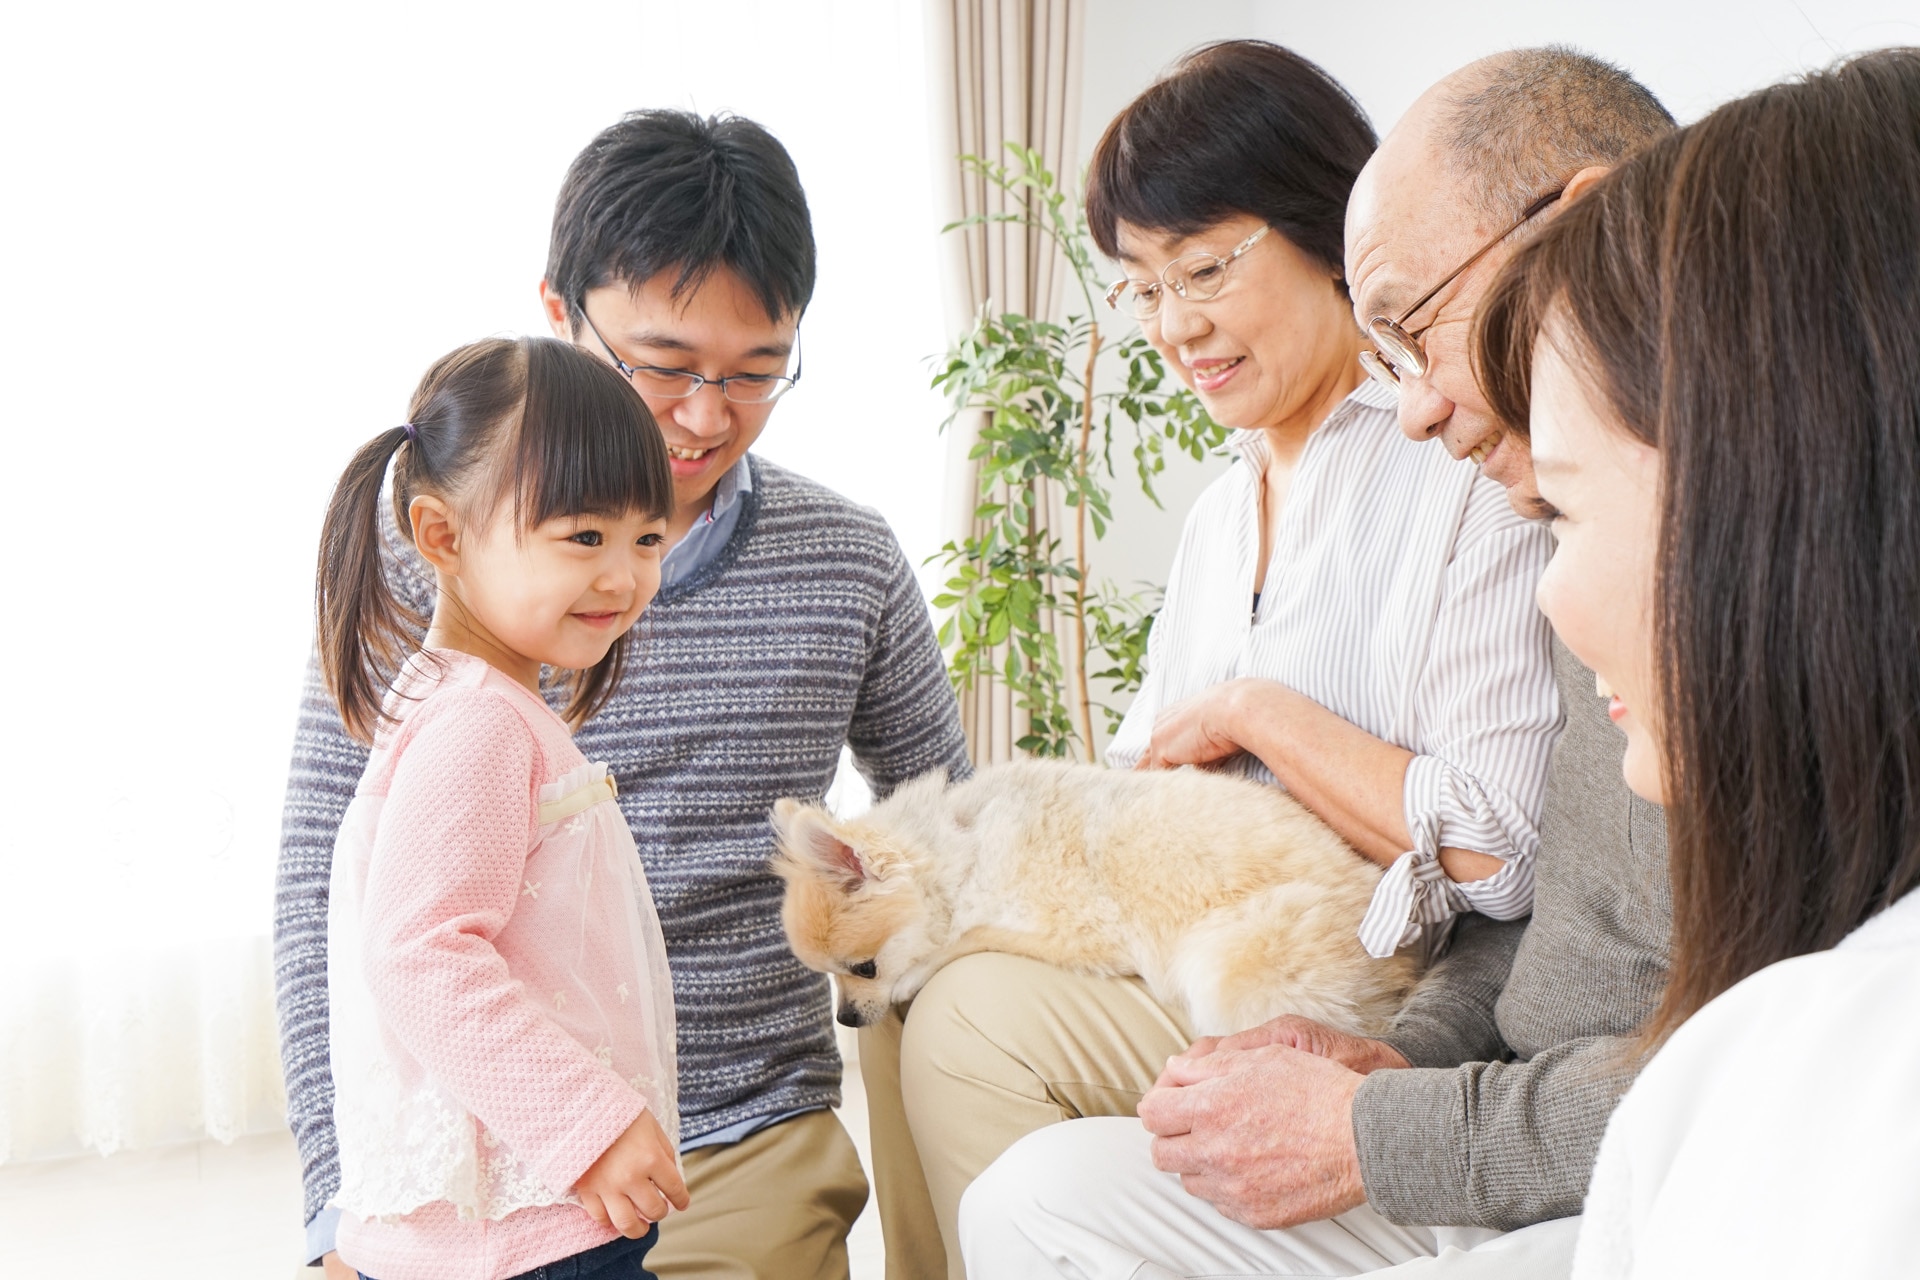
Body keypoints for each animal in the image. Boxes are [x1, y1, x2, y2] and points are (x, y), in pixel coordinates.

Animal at [771, 759, 1420, 1043]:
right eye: (830, 978)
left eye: (863, 969)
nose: (846, 1019)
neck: (966, 843)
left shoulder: (1076, 929)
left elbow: (965, 940)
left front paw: (918, 973)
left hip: (1231, 963)